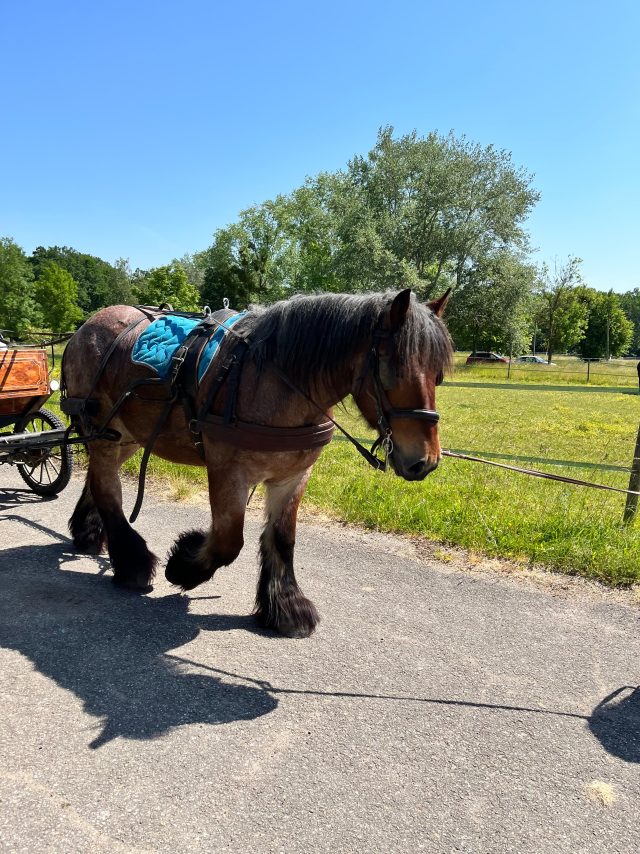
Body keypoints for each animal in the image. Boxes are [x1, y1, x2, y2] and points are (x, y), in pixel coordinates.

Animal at [60, 290, 450, 640]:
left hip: (126, 436)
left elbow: (283, 538)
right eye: (391, 371)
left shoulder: (293, 476)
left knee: (98, 478)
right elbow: (228, 541)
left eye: (438, 376)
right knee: (107, 490)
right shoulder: (228, 472)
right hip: (105, 431)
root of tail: (86, 327)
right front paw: (184, 565)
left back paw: (89, 533)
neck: (273, 380)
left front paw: (286, 608)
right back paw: (132, 563)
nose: (425, 462)